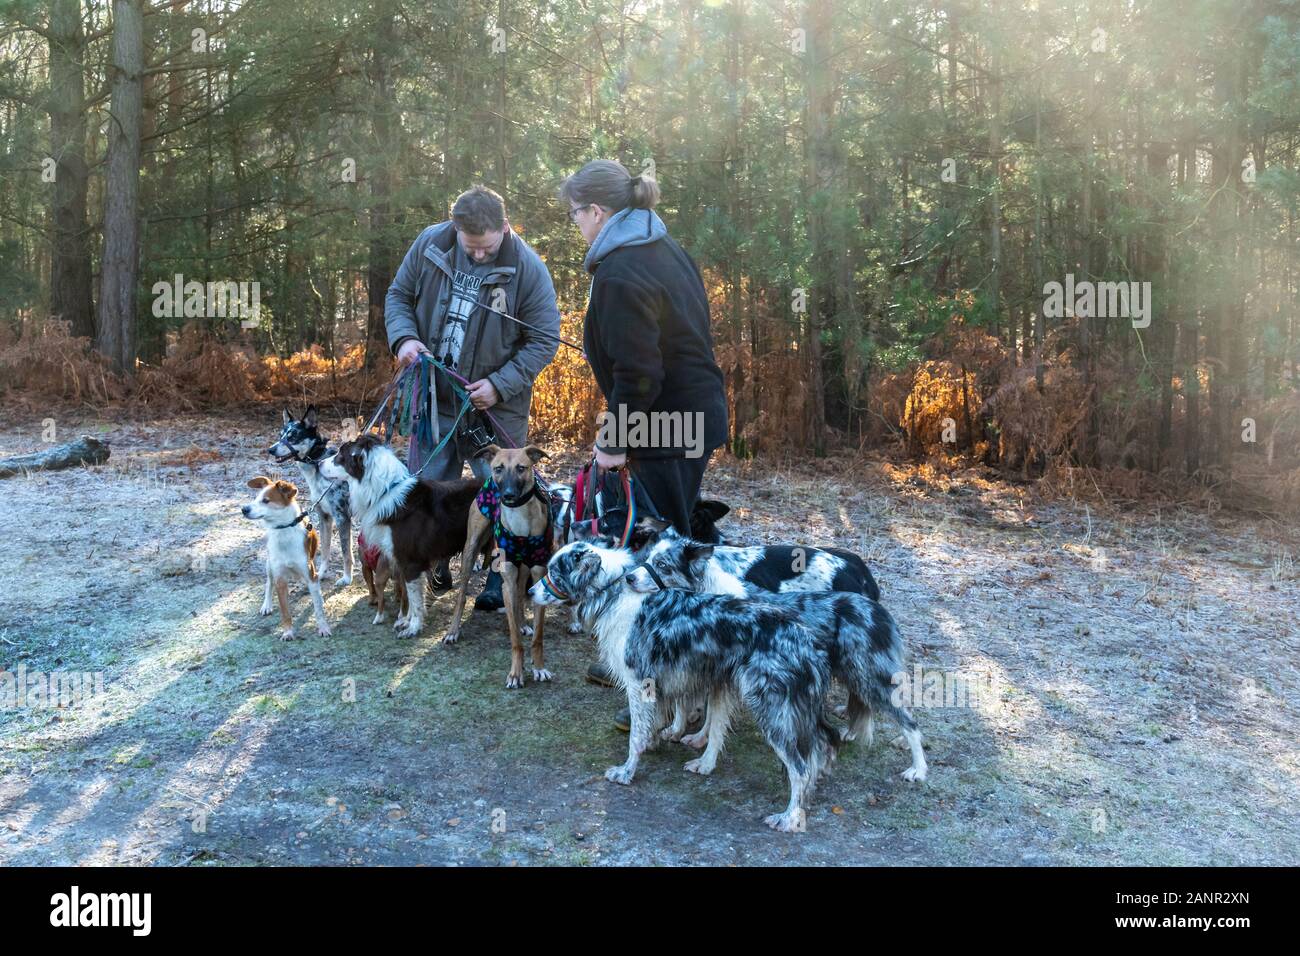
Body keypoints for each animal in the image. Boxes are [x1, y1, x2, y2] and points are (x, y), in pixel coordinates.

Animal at [241, 476, 330, 639]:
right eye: (255, 498)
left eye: (266, 500)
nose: (244, 509)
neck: (284, 530)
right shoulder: (280, 579)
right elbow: (285, 611)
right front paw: (288, 632)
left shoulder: (311, 575)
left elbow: (318, 608)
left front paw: (323, 628)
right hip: (269, 565)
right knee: (268, 583)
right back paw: (267, 605)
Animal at [321, 437, 480, 639]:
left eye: (341, 455)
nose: (318, 463)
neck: (384, 492)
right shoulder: (402, 561)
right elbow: (411, 596)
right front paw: (406, 621)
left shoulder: (411, 562)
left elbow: (414, 599)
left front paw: (413, 628)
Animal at [444, 444, 551, 691]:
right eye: (499, 468)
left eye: (522, 468)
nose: (508, 495)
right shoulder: (507, 580)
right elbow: (515, 641)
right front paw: (515, 674)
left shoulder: (537, 573)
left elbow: (538, 636)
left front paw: (539, 667)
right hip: (471, 548)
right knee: (462, 595)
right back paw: (453, 631)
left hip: (523, 567)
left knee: (520, 595)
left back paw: (523, 624)